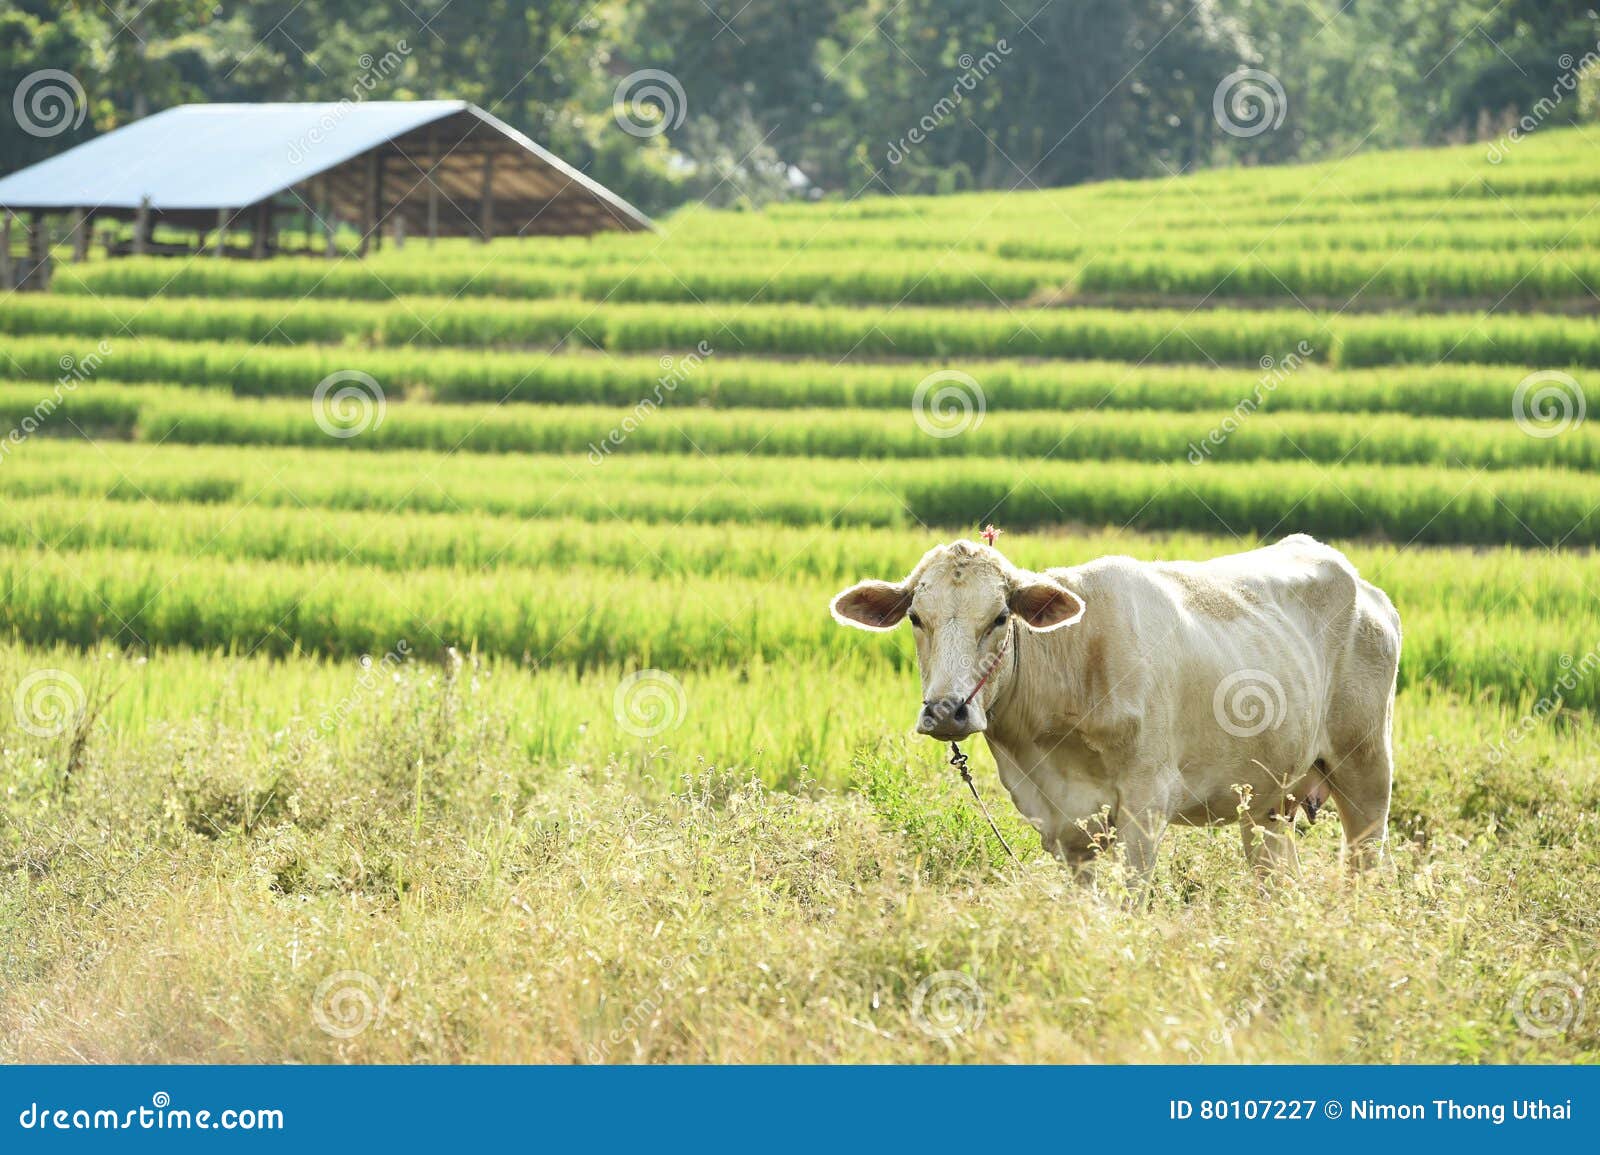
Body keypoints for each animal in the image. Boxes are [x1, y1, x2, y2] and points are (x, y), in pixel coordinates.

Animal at [829, 534, 1400, 887]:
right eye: (916, 618)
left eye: (999, 617)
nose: (947, 712)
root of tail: (1368, 589)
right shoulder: (1062, 824)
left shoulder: (1146, 805)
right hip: (1267, 802)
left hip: (1367, 767)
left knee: (1365, 863)